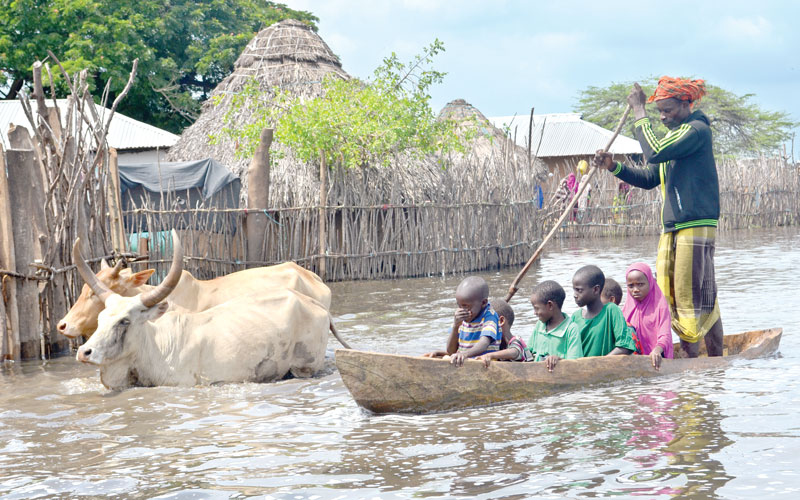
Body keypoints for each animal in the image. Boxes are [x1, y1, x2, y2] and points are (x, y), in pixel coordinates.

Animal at [75, 230, 334, 390]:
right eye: (100, 318)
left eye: (124, 321)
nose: (84, 352)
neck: (156, 346)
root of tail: (313, 303)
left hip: (305, 367)